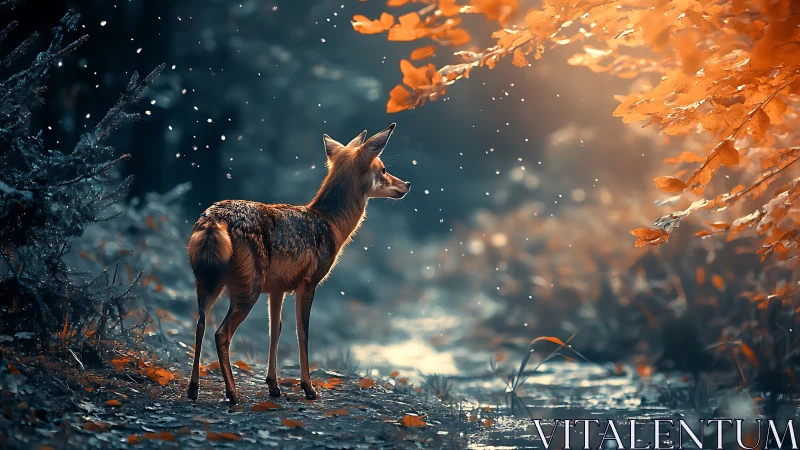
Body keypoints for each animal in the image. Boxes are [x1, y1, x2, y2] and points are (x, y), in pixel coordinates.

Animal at [186, 123, 409, 404]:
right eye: (383, 169)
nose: (407, 184)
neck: (331, 225)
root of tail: (215, 219)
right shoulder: (308, 283)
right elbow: (302, 333)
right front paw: (308, 387)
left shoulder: (277, 289)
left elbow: (276, 330)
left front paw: (273, 385)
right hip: (248, 287)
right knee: (221, 333)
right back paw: (232, 393)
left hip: (209, 282)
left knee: (199, 323)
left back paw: (193, 389)